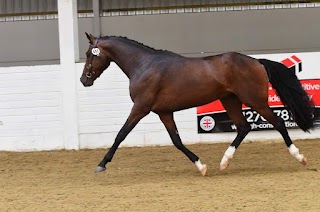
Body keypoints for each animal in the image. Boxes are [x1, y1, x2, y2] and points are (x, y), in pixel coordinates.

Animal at [80, 32, 316, 176]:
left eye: (89, 54)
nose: (84, 80)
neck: (144, 65)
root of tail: (256, 61)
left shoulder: (140, 108)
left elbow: (121, 134)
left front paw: (101, 164)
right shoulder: (164, 112)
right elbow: (176, 141)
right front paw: (201, 166)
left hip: (255, 101)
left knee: (278, 123)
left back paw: (300, 157)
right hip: (230, 100)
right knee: (243, 127)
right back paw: (224, 162)